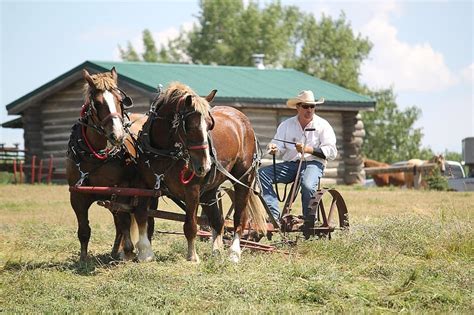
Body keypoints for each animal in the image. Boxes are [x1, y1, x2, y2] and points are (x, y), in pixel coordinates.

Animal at [65, 67, 153, 262]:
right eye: (97, 103)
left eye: (120, 101)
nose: (117, 135)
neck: (94, 156)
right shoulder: (77, 195)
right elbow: (84, 229)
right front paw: (83, 259)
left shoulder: (121, 189)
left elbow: (125, 221)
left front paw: (128, 251)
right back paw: (115, 251)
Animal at [135, 82, 268, 264]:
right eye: (189, 127)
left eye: (210, 125)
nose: (205, 166)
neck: (164, 151)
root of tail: (243, 120)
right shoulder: (146, 186)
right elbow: (143, 216)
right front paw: (145, 252)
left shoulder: (192, 190)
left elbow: (190, 225)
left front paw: (192, 256)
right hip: (210, 190)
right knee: (218, 221)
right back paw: (216, 251)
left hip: (243, 180)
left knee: (239, 218)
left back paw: (234, 253)